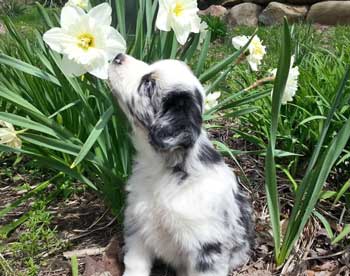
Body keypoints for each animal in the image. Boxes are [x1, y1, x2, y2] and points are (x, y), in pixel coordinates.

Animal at [108, 54, 253, 276]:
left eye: (148, 84)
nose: (118, 56)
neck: (163, 170)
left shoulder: (206, 248)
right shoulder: (138, 226)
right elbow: (135, 264)